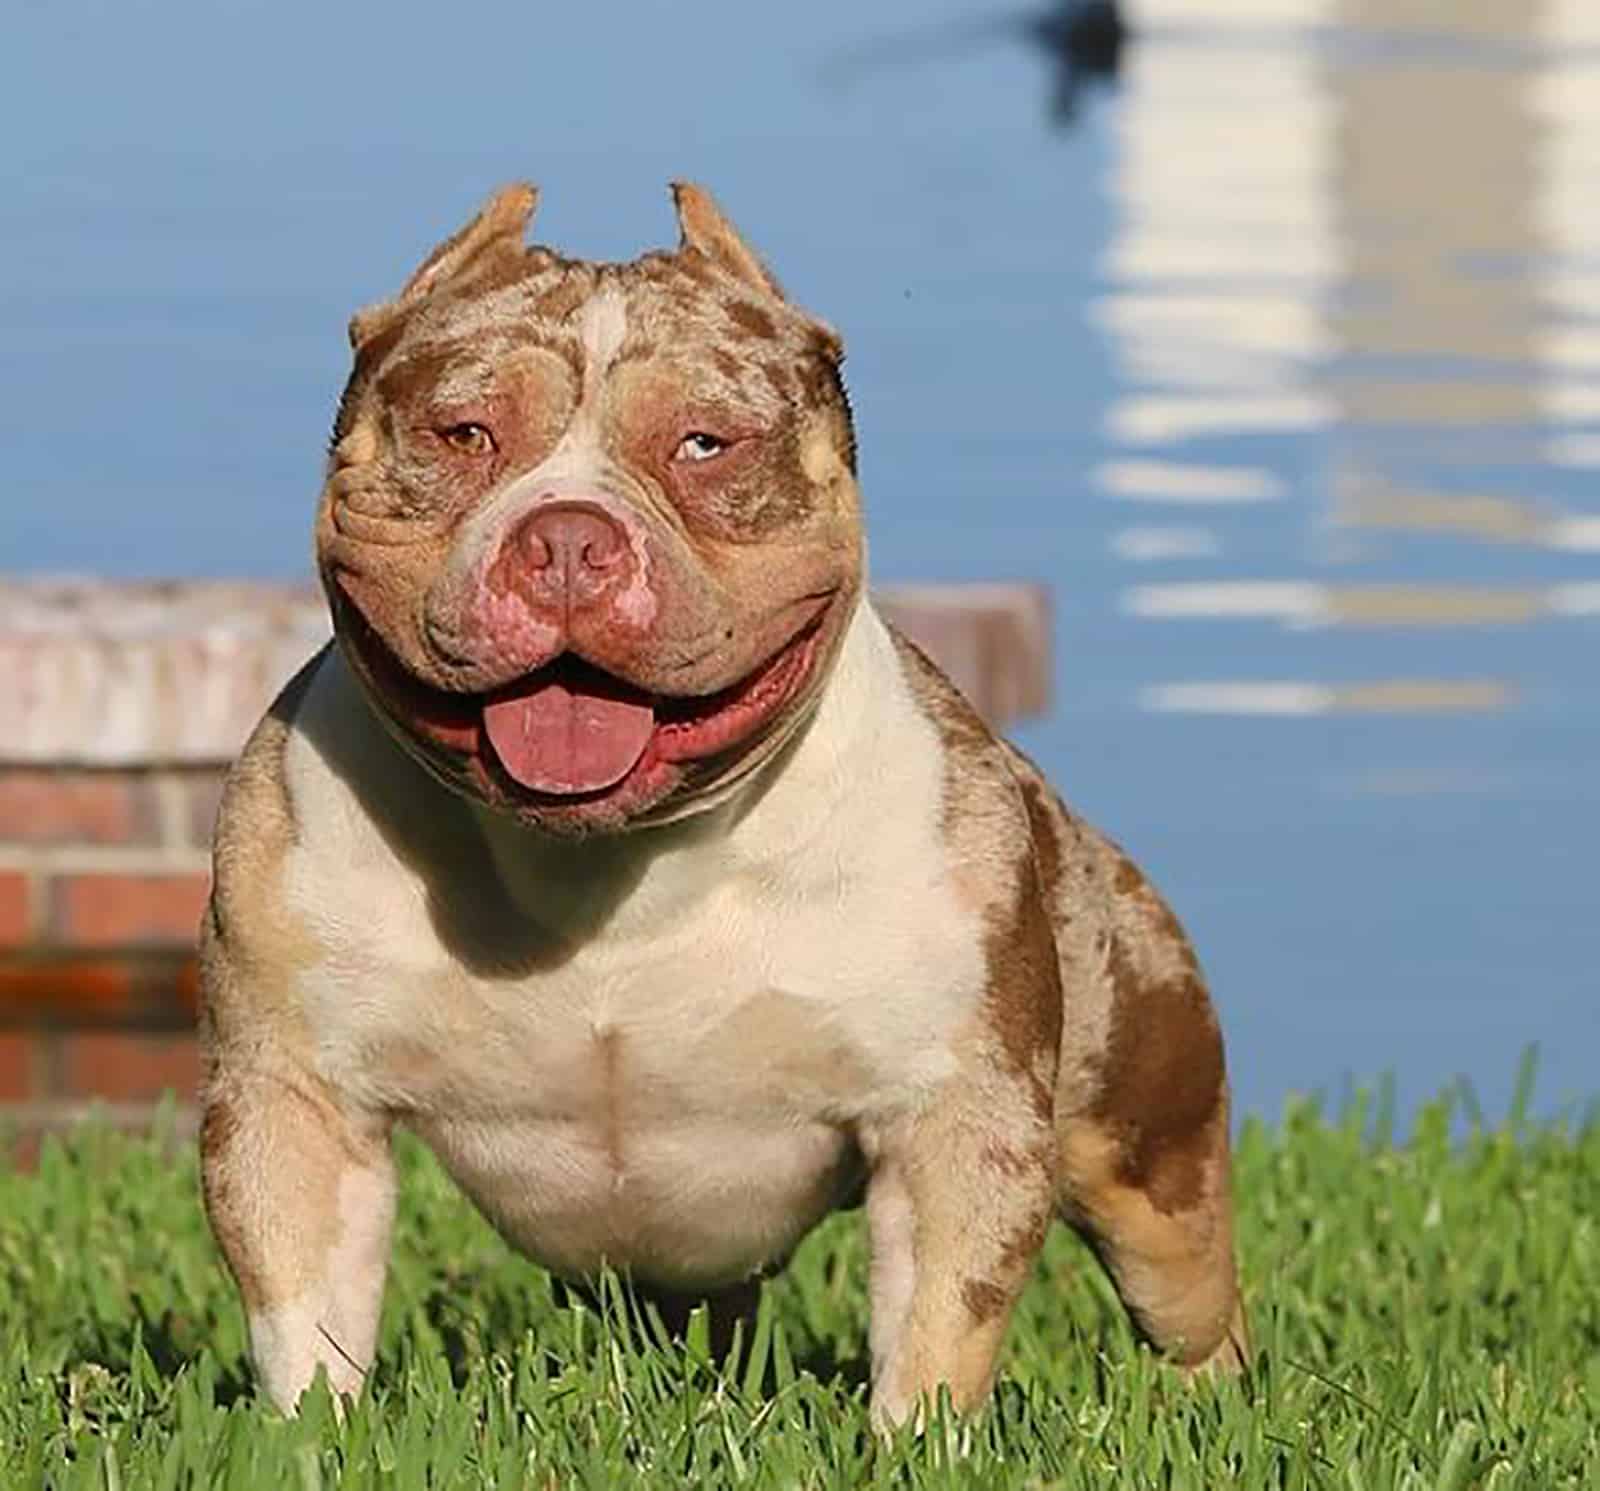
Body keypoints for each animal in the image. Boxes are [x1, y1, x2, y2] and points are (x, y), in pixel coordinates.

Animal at [196, 180, 1248, 1427]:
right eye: (465, 435)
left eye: (703, 444)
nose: (566, 538)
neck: (611, 863)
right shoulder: (293, 1100)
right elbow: (304, 1318)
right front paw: (314, 1436)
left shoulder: (954, 1119)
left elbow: (937, 1329)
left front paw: (913, 1444)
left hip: (1151, 1149)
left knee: (1193, 1305)